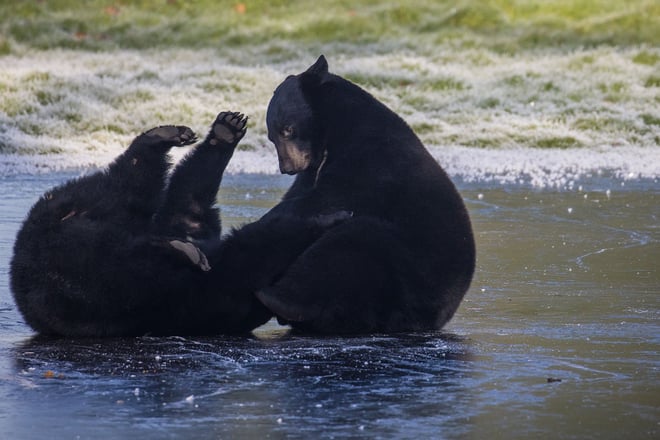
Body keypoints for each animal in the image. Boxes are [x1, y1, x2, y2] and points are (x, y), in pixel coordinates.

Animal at [10, 111, 348, 337]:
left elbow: (189, 200)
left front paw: (225, 130)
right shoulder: (213, 293)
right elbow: (253, 248)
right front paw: (325, 218)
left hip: (80, 209)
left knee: (127, 186)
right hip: (97, 273)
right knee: (130, 192)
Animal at [255, 55, 476, 334]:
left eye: (287, 129)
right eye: (271, 136)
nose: (287, 167)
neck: (338, 127)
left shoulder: (373, 159)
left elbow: (331, 195)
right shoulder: (315, 168)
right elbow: (303, 192)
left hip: (404, 265)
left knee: (345, 247)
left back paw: (274, 297)